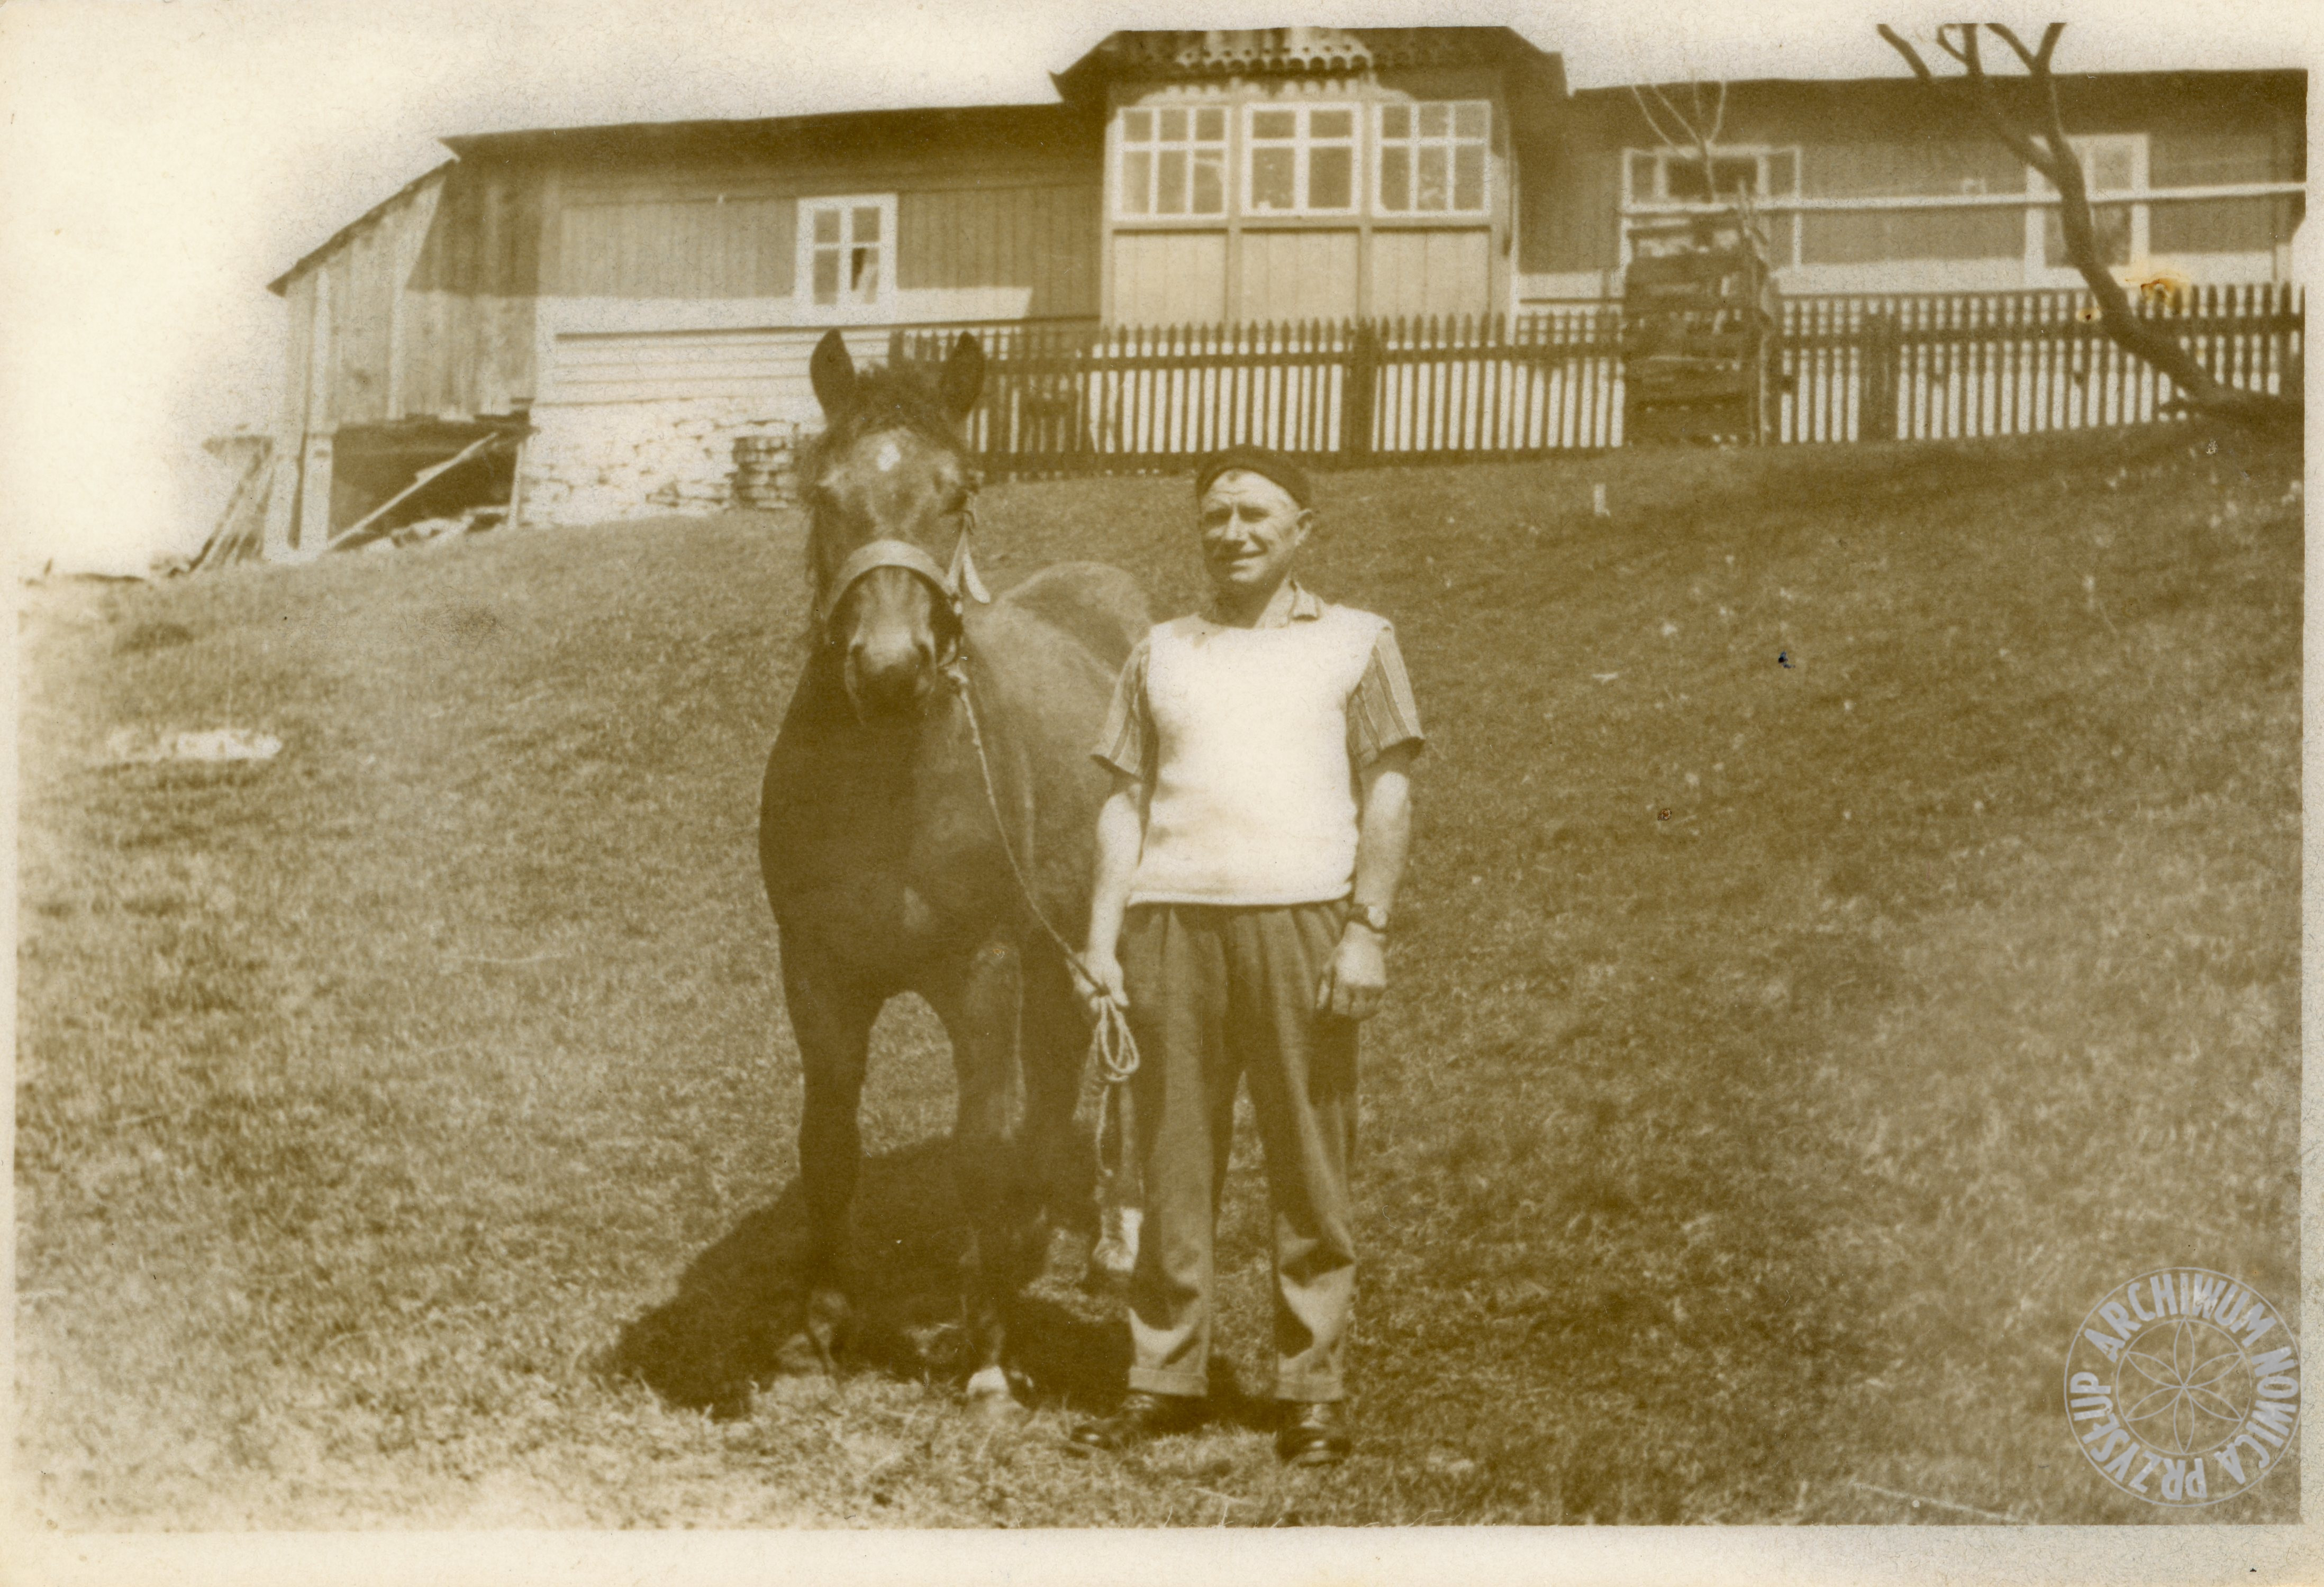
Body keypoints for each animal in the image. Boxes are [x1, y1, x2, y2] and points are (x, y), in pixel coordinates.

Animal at [762, 332, 1152, 1412]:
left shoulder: (982, 972)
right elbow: (828, 1146)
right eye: (824, 493)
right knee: (1059, 1079)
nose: (890, 671)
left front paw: (984, 1351)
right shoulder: (818, 975)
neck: (888, 784)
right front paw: (819, 1326)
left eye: (961, 491)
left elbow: (982, 1146)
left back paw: (1113, 1243)